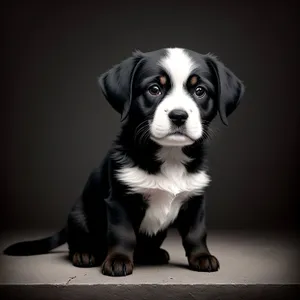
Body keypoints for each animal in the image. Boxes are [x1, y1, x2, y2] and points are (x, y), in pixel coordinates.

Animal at [4, 47, 244, 276]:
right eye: (154, 89)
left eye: (200, 91)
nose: (178, 115)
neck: (171, 156)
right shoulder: (120, 200)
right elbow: (123, 234)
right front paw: (118, 260)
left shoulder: (195, 199)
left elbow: (196, 233)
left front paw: (202, 257)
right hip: (79, 216)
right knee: (77, 242)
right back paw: (84, 254)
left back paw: (154, 253)